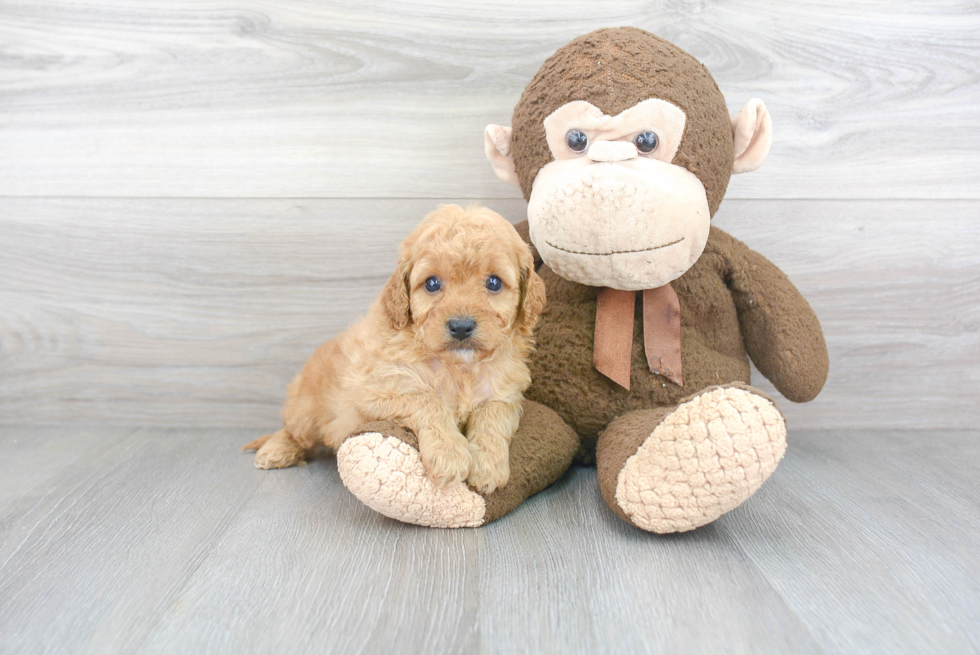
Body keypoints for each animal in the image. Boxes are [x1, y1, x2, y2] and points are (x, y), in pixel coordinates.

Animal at [245, 205, 548, 492]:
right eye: (432, 283)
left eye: (494, 282)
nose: (461, 327)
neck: (459, 368)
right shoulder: (377, 390)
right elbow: (428, 400)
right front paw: (449, 454)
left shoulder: (504, 394)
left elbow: (493, 418)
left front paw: (487, 466)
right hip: (306, 410)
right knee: (292, 432)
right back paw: (276, 451)